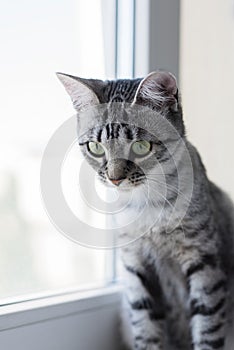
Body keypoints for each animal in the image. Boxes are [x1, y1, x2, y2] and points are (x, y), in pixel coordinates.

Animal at [56, 72, 234, 350]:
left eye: (140, 146)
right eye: (96, 147)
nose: (115, 179)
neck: (147, 208)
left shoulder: (206, 261)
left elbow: (208, 326)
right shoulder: (135, 265)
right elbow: (146, 325)